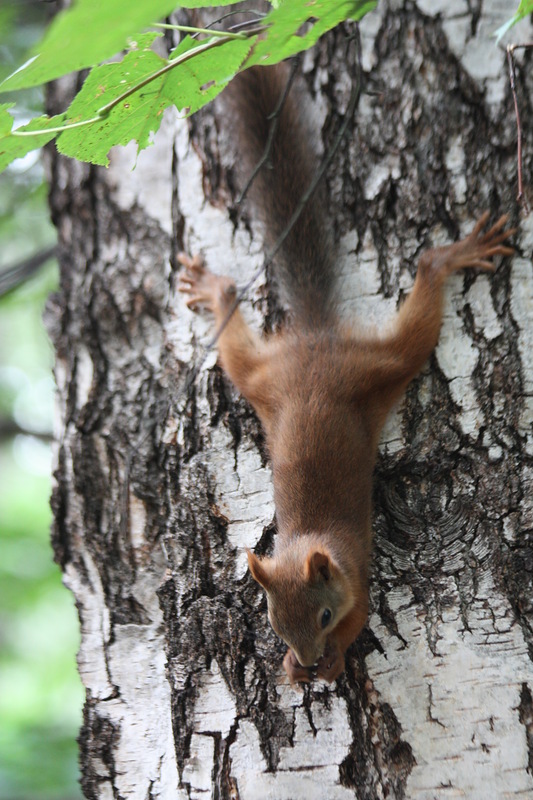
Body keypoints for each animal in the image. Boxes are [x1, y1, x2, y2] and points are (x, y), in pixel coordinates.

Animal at [178, 65, 512, 684]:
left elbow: (363, 618)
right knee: (235, 325)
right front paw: (292, 668)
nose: (308, 656)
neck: (309, 545)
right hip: (261, 379)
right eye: (274, 622)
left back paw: (453, 256)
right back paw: (214, 290)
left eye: (325, 614)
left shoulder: (357, 573)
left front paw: (331, 663)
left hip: (378, 368)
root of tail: (315, 344)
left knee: (420, 302)